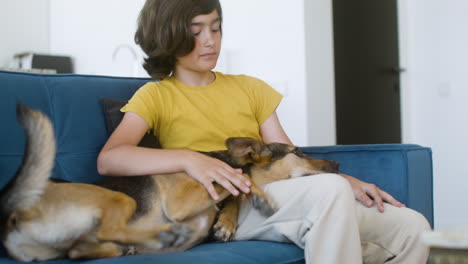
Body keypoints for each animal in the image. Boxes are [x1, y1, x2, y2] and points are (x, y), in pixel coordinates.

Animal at [0, 104, 336, 260]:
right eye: (298, 152)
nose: (337, 164)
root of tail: (11, 214)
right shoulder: (180, 202)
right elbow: (236, 182)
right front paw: (254, 197)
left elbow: (231, 193)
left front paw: (226, 221)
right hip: (118, 199)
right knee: (110, 228)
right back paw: (161, 235)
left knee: (78, 252)